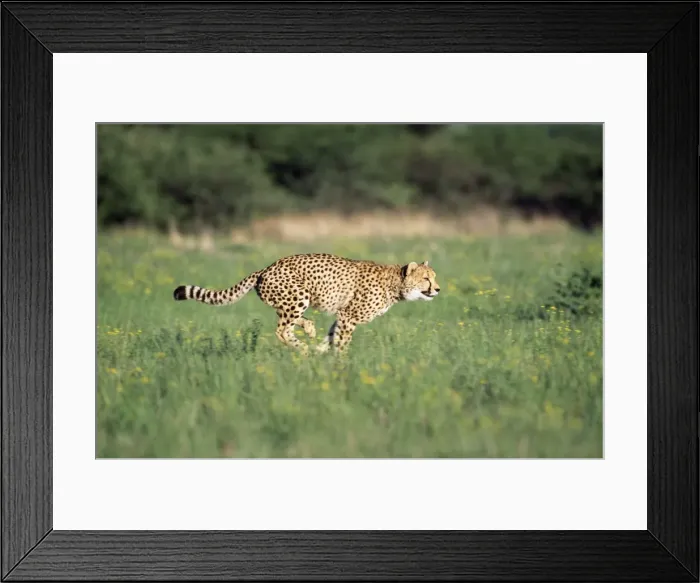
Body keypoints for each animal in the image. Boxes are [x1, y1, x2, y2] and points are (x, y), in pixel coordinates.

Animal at [173, 253, 441, 355]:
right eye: (426, 278)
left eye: (434, 277)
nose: (438, 289)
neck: (396, 283)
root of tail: (266, 268)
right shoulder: (350, 316)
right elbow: (342, 342)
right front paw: (341, 362)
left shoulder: (342, 315)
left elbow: (332, 336)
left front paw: (321, 351)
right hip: (298, 296)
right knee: (282, 329)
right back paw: (301, 347)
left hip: (290, 300)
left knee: (287, 321)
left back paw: (308, 330)